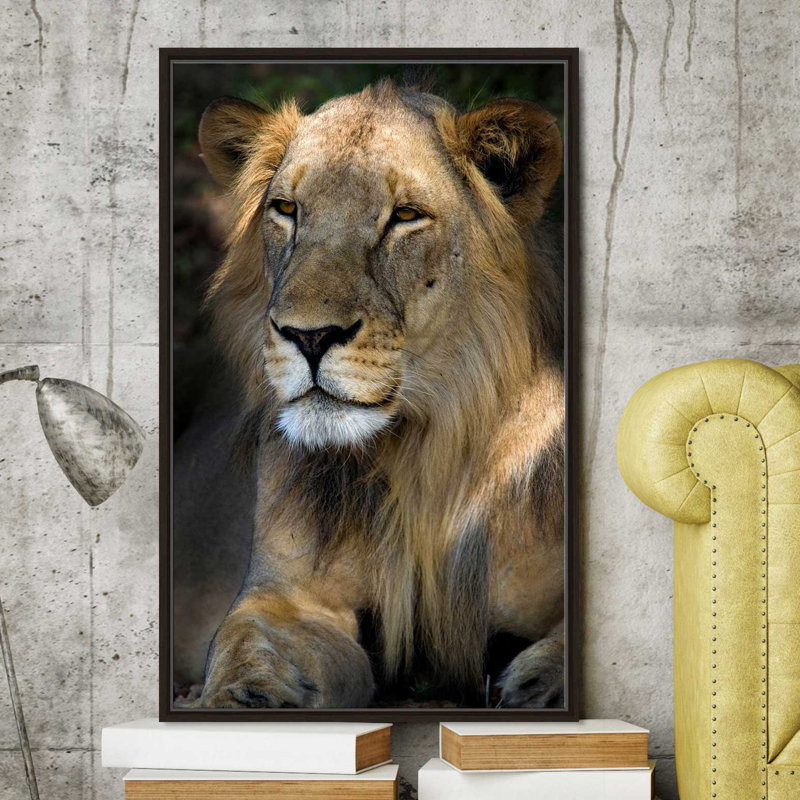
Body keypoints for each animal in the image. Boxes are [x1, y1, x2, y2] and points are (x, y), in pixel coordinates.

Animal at [195, 79, 565, 709]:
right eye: (287, 210)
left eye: (405, 217)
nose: (308, 336)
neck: (421, 452)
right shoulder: (289, 596)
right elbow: (246, 642)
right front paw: (244, 701)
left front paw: (541, 684)